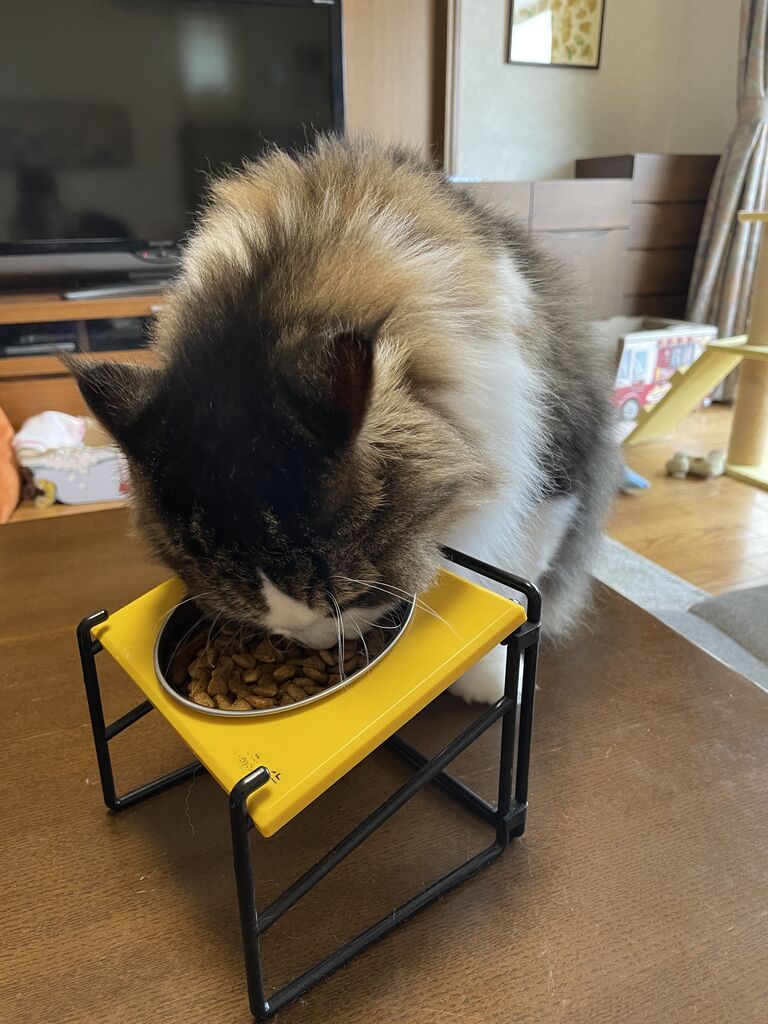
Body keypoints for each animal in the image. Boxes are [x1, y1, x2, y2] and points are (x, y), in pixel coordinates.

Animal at [69, 137, 618, 704]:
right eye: (251, 609)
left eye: (348, 599)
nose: (313, 644)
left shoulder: (554, 464)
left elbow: (513, 574)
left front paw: (488, 679)